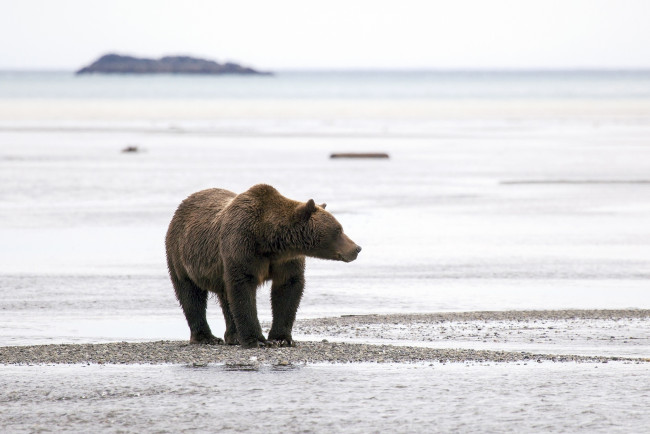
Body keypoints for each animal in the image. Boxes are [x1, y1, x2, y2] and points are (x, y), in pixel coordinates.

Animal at [163, 183, 360, 350]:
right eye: (339, 229)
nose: (357, 248)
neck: (270, 241)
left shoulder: (285, 261)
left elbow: (288, 290)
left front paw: (281, 338)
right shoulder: (242, 247)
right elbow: (243, 290)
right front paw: (257, 340)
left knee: (225, 297)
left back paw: (233, 336)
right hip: (180, 254)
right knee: (190, 294)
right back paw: (206, 337)